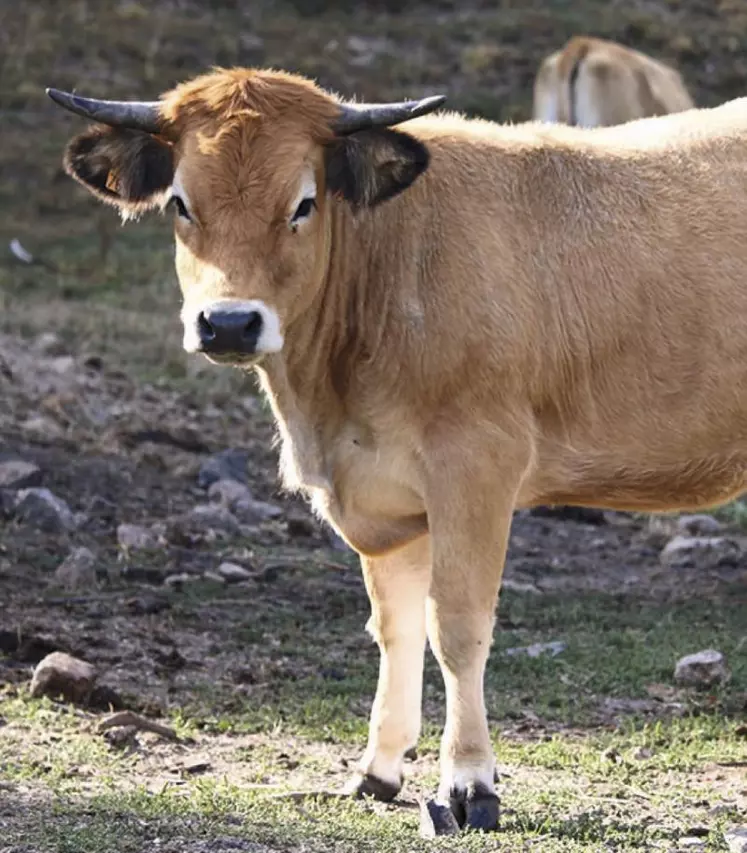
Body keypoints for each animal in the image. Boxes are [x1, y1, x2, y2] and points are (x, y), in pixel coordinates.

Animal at [48, 68, 747, 840]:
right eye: (179, 203)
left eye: (303, 203)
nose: (228, 323)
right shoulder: (382, 496)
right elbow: (395, 627)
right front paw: (376, 770)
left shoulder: (476, 466)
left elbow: (457, 626)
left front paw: (469, 784)